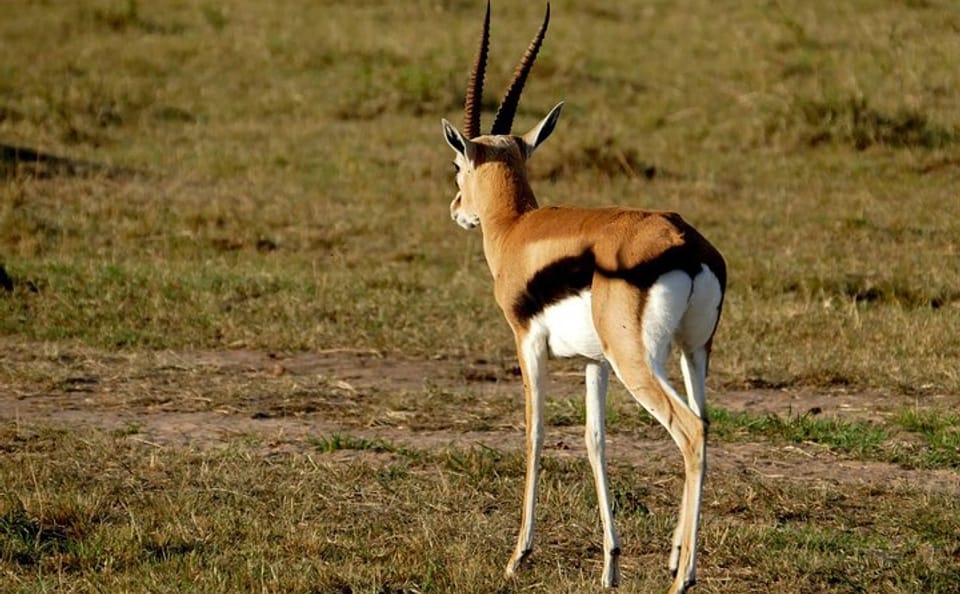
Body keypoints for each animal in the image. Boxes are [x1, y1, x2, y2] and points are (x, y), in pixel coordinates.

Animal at [440, 3, 726, 592]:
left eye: (458, 165)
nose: (457, 209)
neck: (517, 230)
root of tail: (685, 242)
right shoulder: (595, 362)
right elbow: (596, 441)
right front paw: (610, 565)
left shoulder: (527, 343)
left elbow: (535, 432)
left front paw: (517, 556)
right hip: (693, 352)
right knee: (706, 422)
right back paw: (675, 558)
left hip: (640, 362)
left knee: (689, 430)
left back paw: (682, 578)